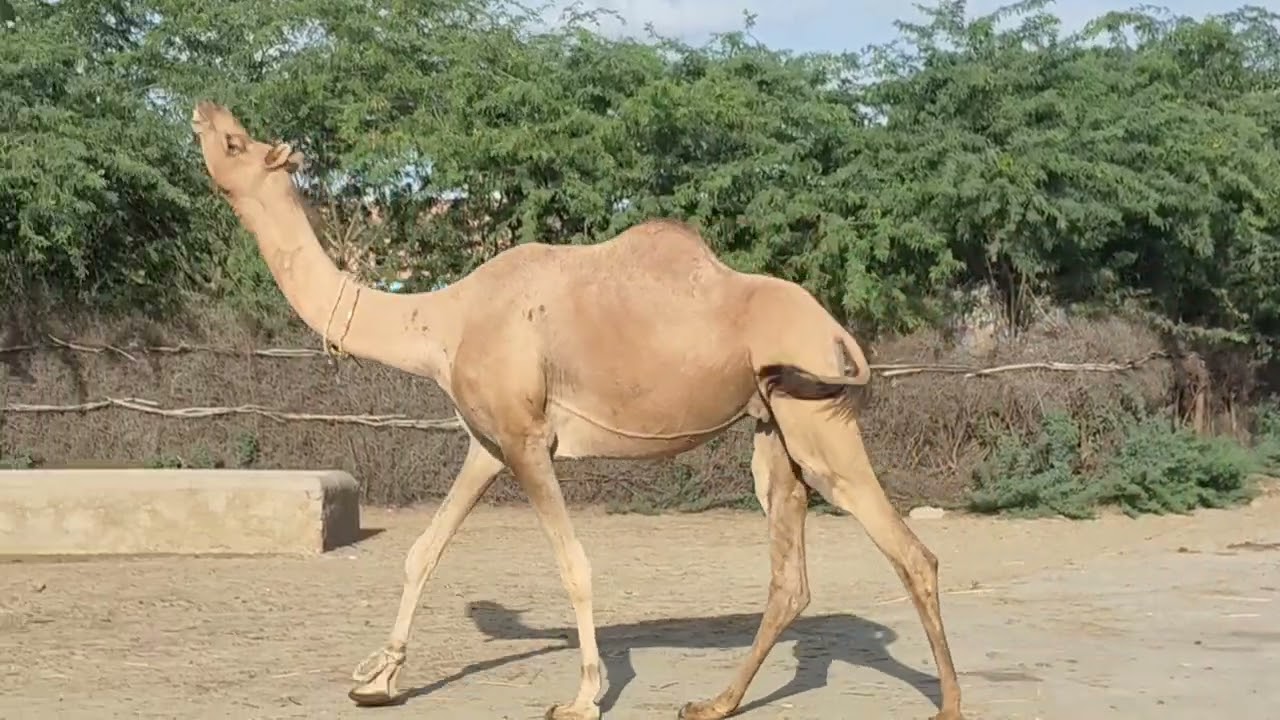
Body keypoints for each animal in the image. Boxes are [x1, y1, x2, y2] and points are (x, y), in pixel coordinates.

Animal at [190, 101, 966, 720]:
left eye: (235, 141)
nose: (202, 106)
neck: (442, 322)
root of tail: (840, 333)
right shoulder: (488, 442)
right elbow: (421, 551)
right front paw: (376, 679)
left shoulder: (529, 440)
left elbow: (574, 564)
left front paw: (583, 696)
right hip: (774, 428)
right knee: (790, 582)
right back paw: (713, 704)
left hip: (819, 421)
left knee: (912, 554)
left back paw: (949, 705)